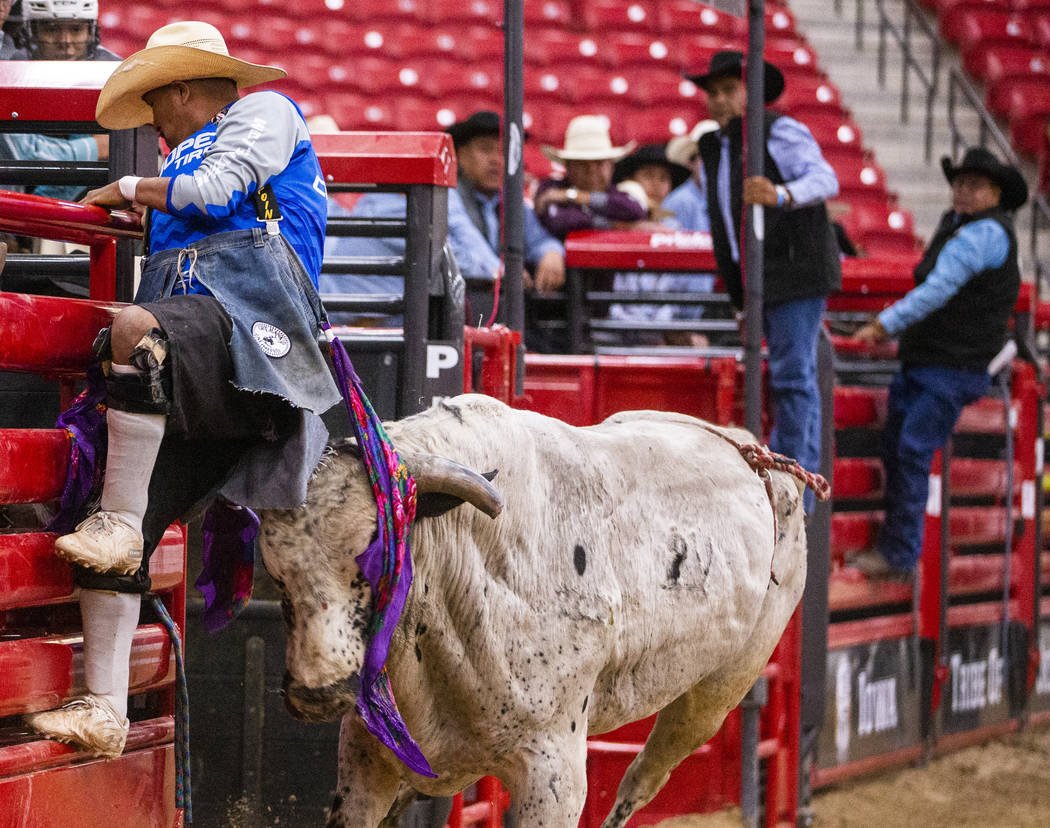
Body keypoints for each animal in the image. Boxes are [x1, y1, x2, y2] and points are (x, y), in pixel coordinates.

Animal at [258, 396, 806, 826]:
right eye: (276, 573)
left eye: (376, 556)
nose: (316, 694)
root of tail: (752, 452)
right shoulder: (365, 754)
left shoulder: (553, 775)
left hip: (715, 694)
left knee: (642, 778)